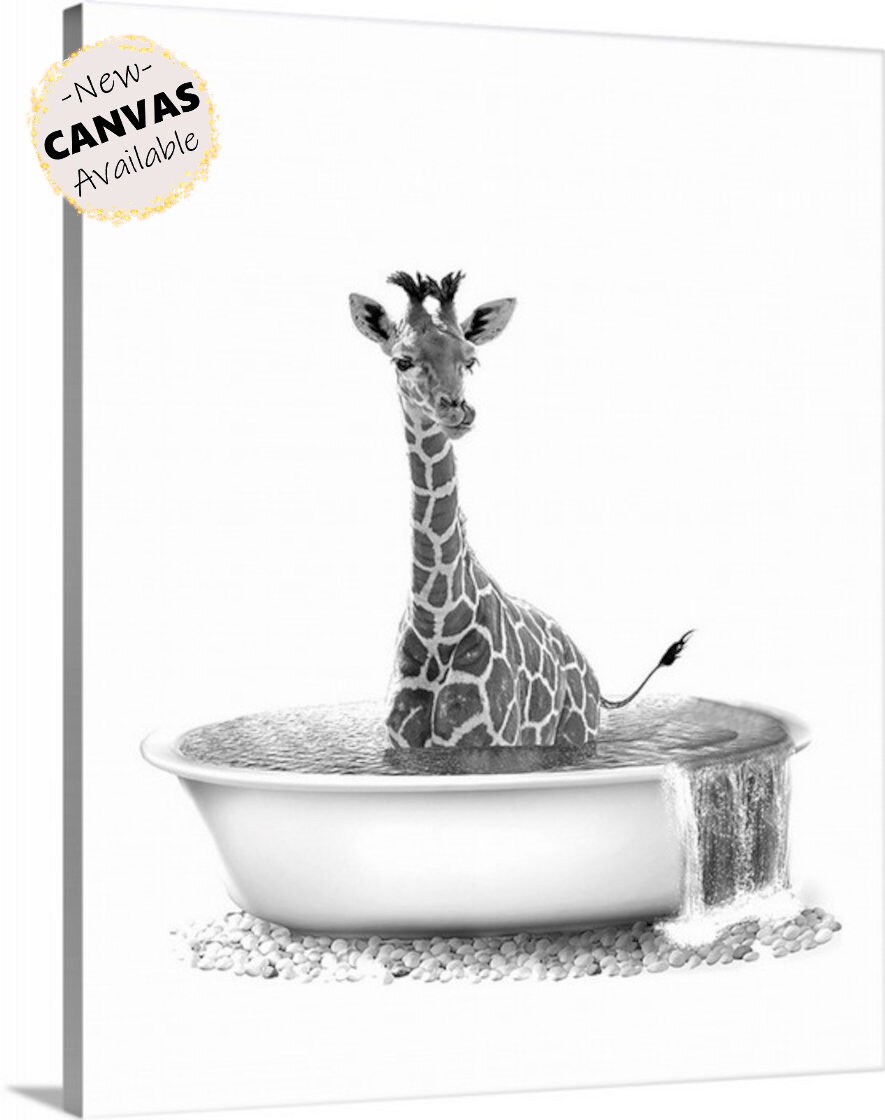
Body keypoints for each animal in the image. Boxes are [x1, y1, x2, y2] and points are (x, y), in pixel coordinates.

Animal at [349, 271, 690, 754]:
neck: (437, 621)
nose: (459, 410)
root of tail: (590, 672)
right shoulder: (403, 745)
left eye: (471, 360)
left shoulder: (488, 742)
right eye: (402, 360)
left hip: (575, 734)